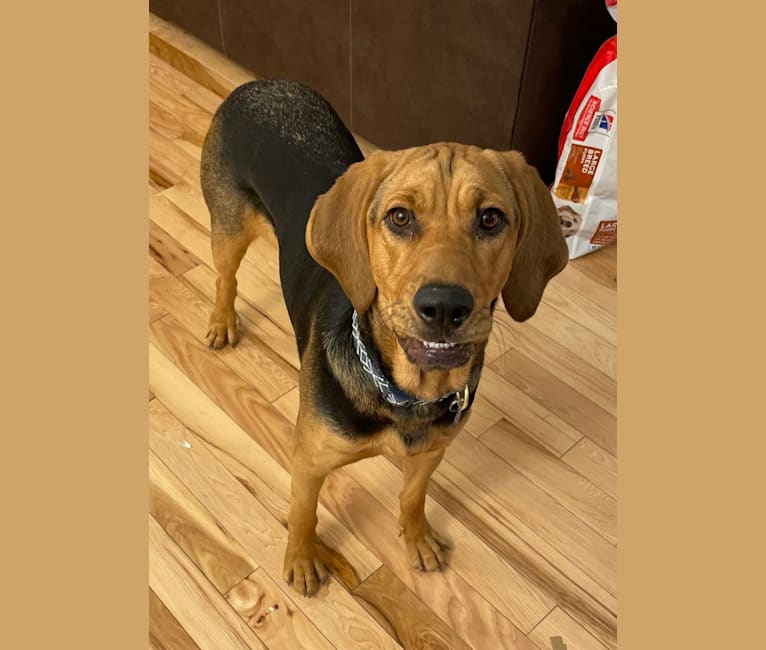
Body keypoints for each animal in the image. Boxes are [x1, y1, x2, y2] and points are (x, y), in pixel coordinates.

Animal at [200, 78, 568, 596]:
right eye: (399, 217)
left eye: (491, 219)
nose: (444, 307)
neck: (405, 393)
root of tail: (261, 84)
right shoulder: (309, 460)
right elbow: (303, 511)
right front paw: (302, 558)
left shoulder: (432, 451)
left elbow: (413, 496)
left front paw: (416, 537)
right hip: (228, 228)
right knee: (225, 278)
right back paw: (221, 322)